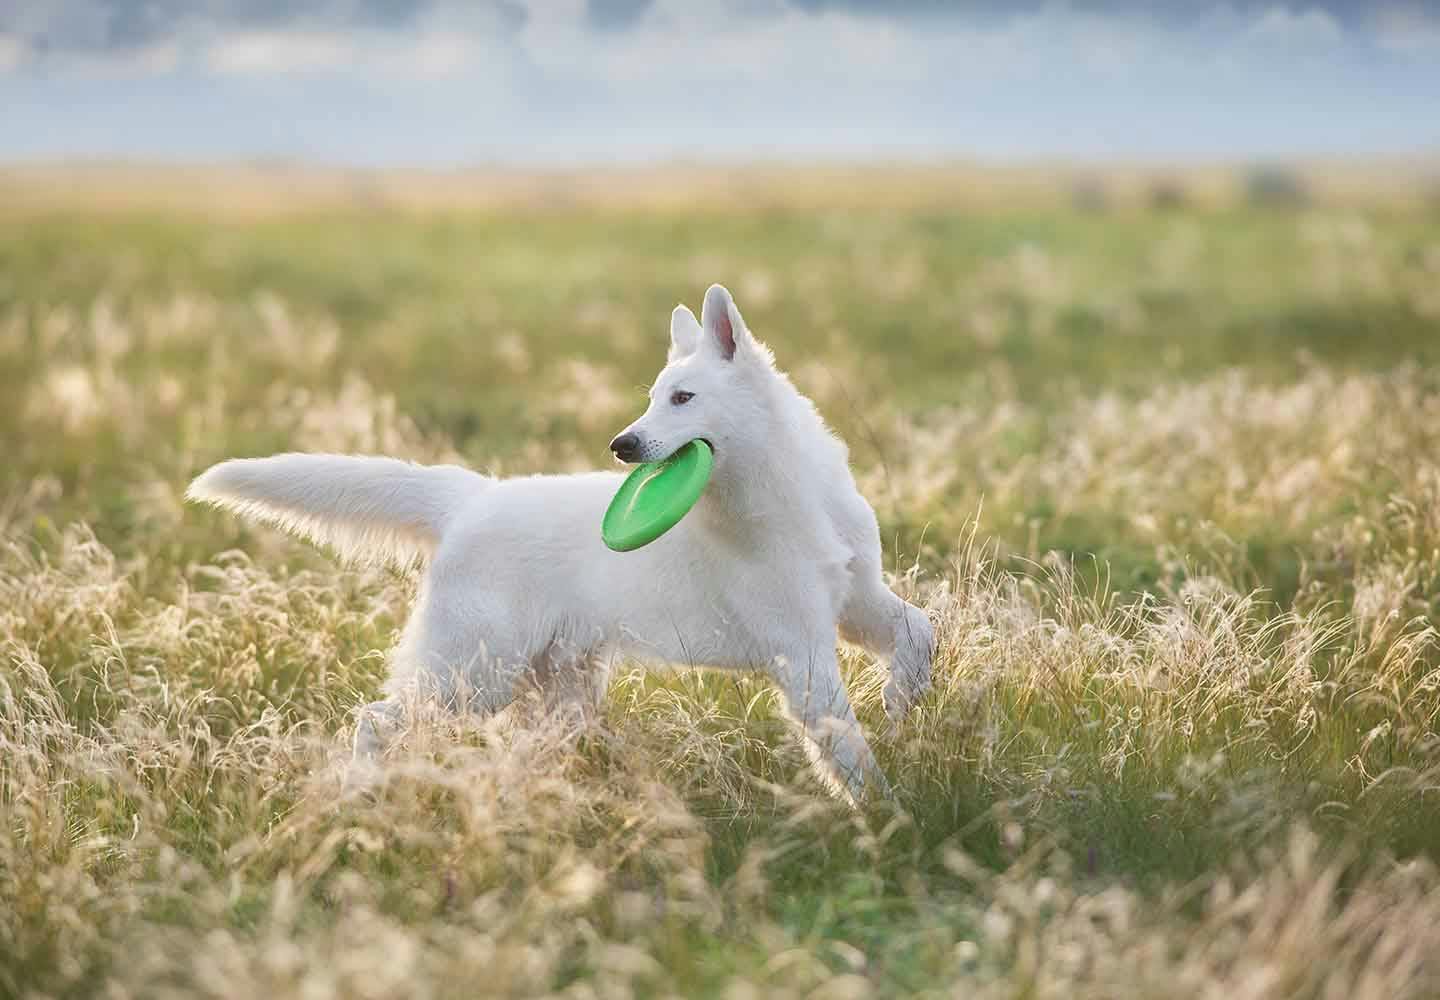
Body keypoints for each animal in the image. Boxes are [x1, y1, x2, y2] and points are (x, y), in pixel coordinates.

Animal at [188, 285, 933, 801]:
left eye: (683, 398)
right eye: (654, 397)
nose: (622, 445)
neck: (791, 497)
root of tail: (470, 499)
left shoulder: (857, 602)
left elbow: (918, 628)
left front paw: (904, 703)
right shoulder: (800, 652)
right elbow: (847, 748)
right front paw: (888, 816)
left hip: (555, 688)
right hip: (470, 672)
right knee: (376, 718)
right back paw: (359, 793)